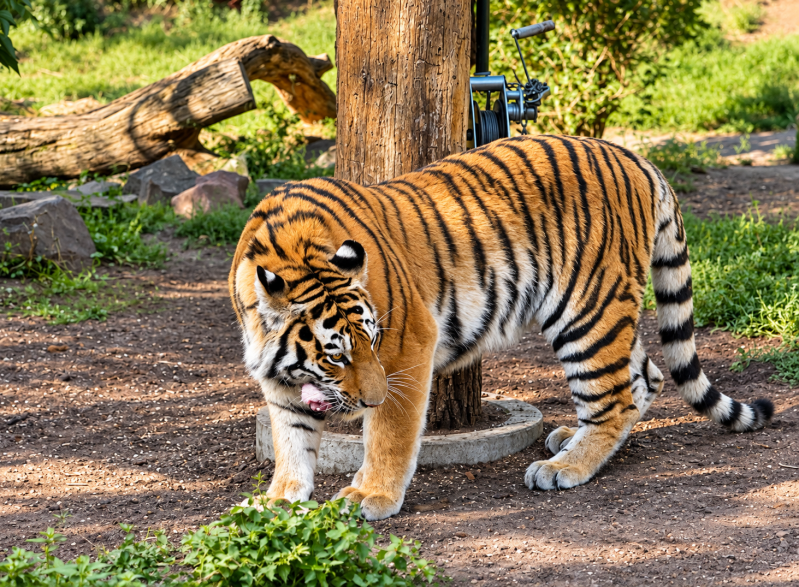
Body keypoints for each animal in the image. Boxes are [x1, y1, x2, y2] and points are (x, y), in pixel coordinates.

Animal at [229, 134, 773, 521]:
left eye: (374, 340)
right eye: (336, 354)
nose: (371, 399)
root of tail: (635, 157)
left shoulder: (410, 344)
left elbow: (389, 434)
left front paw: (370, 494)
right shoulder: (279, 376)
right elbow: (291, 439)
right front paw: (280, 499)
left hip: (586, 311)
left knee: (614, 397)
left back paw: (564, 467)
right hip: (606, 308)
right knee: (647, 376)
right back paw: (571, 441)